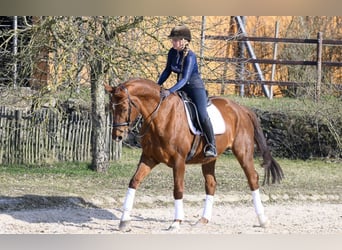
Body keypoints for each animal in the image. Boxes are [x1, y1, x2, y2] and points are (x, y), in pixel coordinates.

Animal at [104, 78, 284, 232]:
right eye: (111, 108)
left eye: (124, 108)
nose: (117, 136)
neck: (160, 115)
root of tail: (241, 109)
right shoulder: (149, 158)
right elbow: (134, 182)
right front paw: (124, 221)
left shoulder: (179, 161)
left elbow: (178, 189)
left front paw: (176, 222)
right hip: (209, 158)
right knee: (211, 184)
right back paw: (203, 219)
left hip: (243, 152)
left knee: (252, 178)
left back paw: (263, 219)